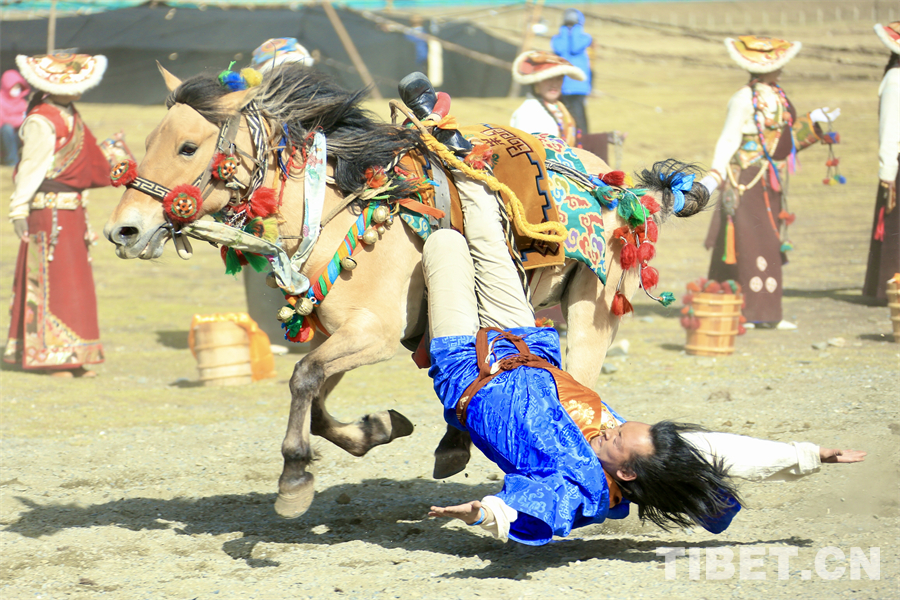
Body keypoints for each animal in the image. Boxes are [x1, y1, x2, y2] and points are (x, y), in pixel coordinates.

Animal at [104, 64, 709, 519]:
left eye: (188, 147)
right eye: (149, 142)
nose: (123, 231)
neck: (341, 208)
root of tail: (614, 183)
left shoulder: (371, 333)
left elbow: (303, 381)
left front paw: (294, 476)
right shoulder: (341, 333)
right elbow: (316, 399)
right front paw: (377, 428)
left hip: (591, 307)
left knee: (576, 383)